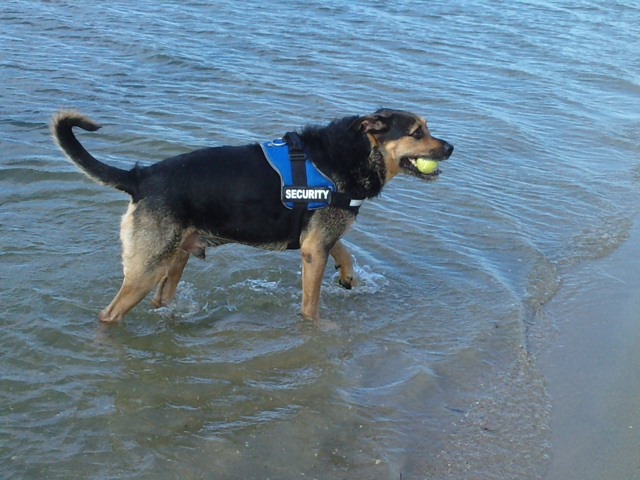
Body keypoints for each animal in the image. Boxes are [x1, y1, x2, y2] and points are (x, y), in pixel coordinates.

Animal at [51, 109, 453, 323]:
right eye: (417, 132)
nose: (450, 147)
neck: (356, 151)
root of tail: (140, 177)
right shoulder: (314, 249)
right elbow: (311, 304)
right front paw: (318, 329)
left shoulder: (317, 239)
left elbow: (344, 249)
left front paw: (348, 275)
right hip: (146, 269)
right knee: (110, 314)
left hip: (174, 259)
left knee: (160, 299)